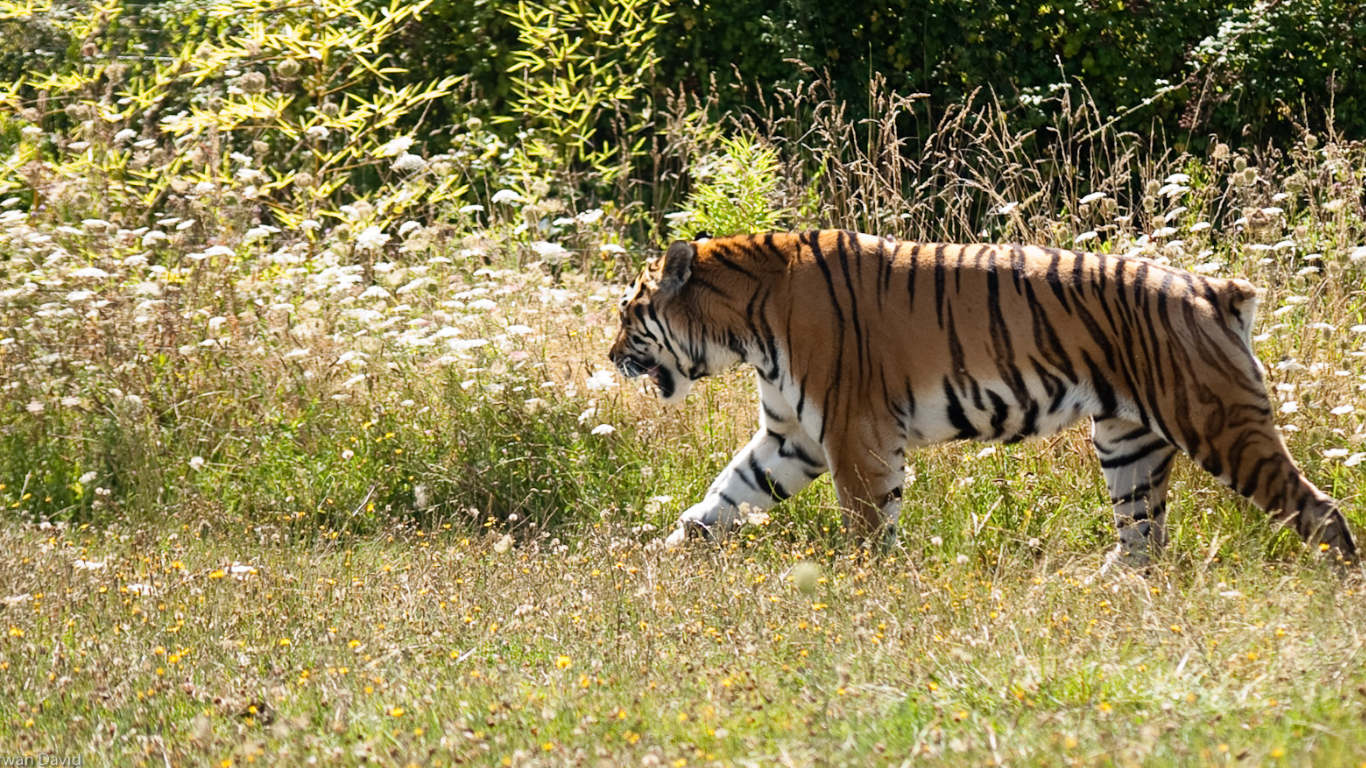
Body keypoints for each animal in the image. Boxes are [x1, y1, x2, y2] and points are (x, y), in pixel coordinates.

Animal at [607, 230, 1358, 566]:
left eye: (626, 312)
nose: (610, 357)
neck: (744, 327)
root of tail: (1213, 288)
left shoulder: (854, 434)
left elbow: (866, 524)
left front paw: (863, 592)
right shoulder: (790, 437)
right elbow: (722, 498)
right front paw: (663, 556)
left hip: (1217, 421)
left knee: (1318, 509)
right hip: (1127, 440)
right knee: (1143, 536)